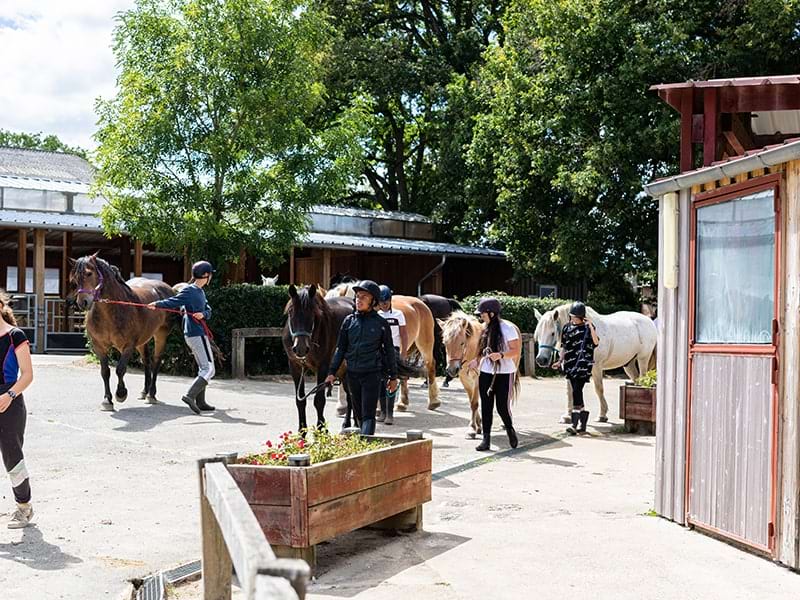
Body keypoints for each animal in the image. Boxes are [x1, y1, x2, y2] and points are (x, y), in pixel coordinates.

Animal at [71, 253, 176, 412]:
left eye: (89, 273)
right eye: (75, 277)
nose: (82, 302)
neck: (111, 312)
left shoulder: (127, 346)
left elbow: (120, 369)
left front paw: (121, 394)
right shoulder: (99, 346)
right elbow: (105, 372)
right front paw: (107, 400)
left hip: (161, 336)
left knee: (156, 362)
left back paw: (151, 394)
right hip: (142, 341)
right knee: (146, 361)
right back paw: (144, 392)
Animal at [284, 284, 354, 432]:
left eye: (312, 313)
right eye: (290, 312)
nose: (300, 348)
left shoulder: (323, 366)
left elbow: (319, 400)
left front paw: (321, 430)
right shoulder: (295, 367)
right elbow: (300, 401)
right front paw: (302, 432)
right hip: (343, 371)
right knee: (350, 395)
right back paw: (348, 424)